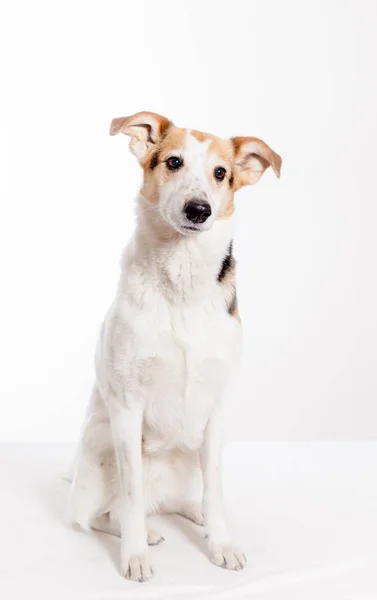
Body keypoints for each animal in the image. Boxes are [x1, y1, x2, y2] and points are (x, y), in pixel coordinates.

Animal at [67, 111, 280, 580]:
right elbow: (128, 497)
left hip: (190, 452)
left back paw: (192, 512)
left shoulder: (217, 409)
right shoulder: (127, 408)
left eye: (221, 173)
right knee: (99, 514)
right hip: (99, 447)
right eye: (174, 162)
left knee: (180, 497)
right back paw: (143, 531)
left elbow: (216, 488)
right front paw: (133, 554)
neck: (182, 283)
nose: (199, 210)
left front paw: (220, 541)